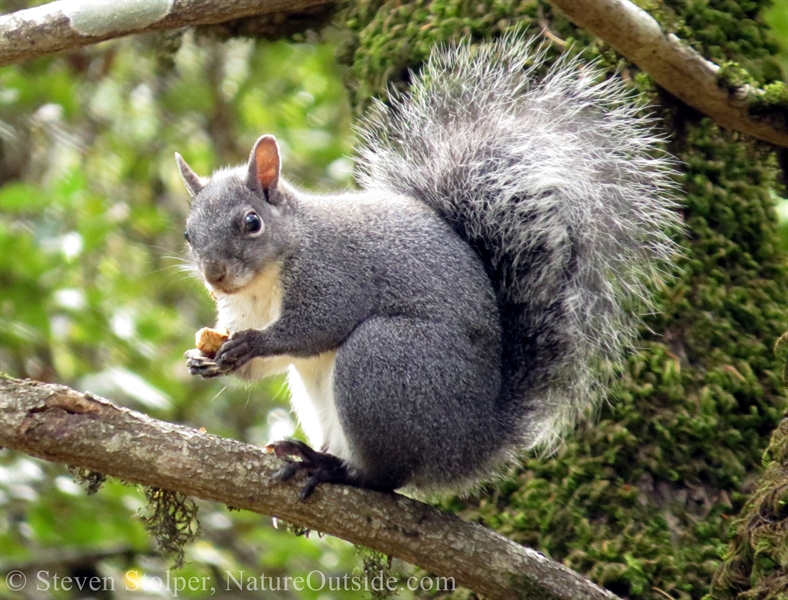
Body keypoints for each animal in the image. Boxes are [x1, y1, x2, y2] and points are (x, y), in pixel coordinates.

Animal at [175, 35, 680, 500]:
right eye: (187, 234)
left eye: (251, 222)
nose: (214, 276)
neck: (264, 282)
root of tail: (467, 443)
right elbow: (268, 361)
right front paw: (206, 359)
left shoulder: (333, 271)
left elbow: (317, 326)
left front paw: (252, 344)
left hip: (387, 361)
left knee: (386, 476)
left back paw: (333, 469)